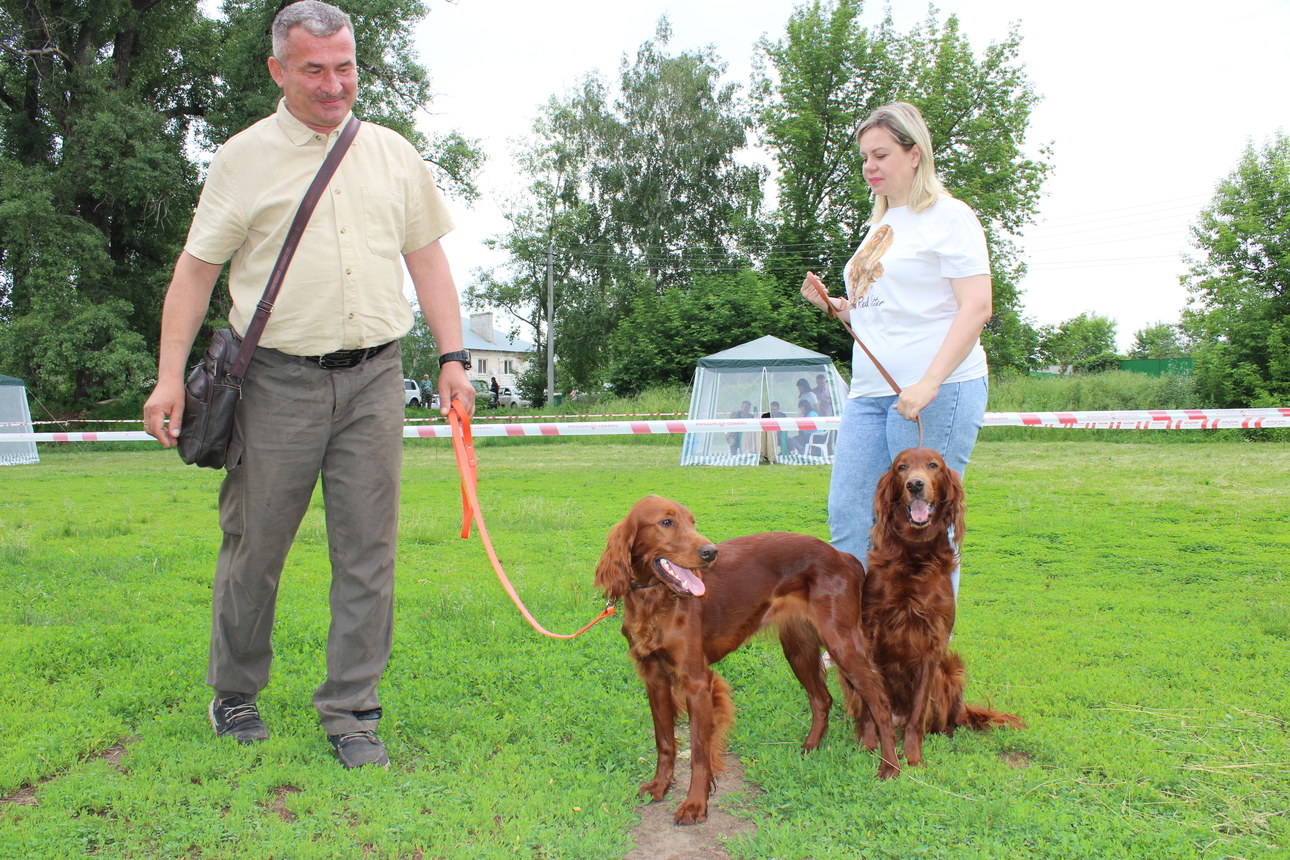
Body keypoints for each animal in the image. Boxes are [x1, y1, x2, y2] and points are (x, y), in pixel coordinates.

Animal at [593, 497, 897, 825]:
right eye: (666, 522)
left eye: (692, 522)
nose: (710, 552)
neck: (655, 600)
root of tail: (844, 556)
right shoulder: (654, 678)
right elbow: (664, 742)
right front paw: (660, 786)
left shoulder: (697, 682)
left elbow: (699, 751)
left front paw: (695, 804)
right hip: (799, 647)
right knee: (823, 699)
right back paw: (813, 747)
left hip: (842, 643)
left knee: (879, 703)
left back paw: (890, 767)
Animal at [851, 451, 1021, 768]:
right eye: (901, 467)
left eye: (934, 466)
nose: (915, 484)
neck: (914, 554)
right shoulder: (869, 633)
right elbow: (870, 702)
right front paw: (869, 743)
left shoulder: (933, 643)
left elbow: (919, 709)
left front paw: (912, 756)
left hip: (950, 670)